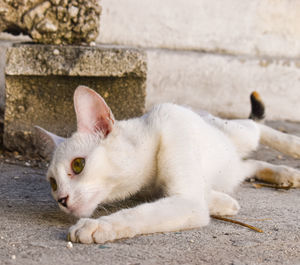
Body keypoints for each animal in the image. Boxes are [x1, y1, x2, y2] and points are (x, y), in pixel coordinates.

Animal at [35, 85, 300, 242]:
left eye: (78, 165)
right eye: (53, 183)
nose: (61, 200)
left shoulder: (188, 202)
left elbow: (138, 214)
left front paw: (97, 226)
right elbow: (203, 196)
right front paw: (223, 203)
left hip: (239, 133)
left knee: (258, 128)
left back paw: (293, 148)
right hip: (233, 165)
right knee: (248, 163)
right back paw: (284, 174)